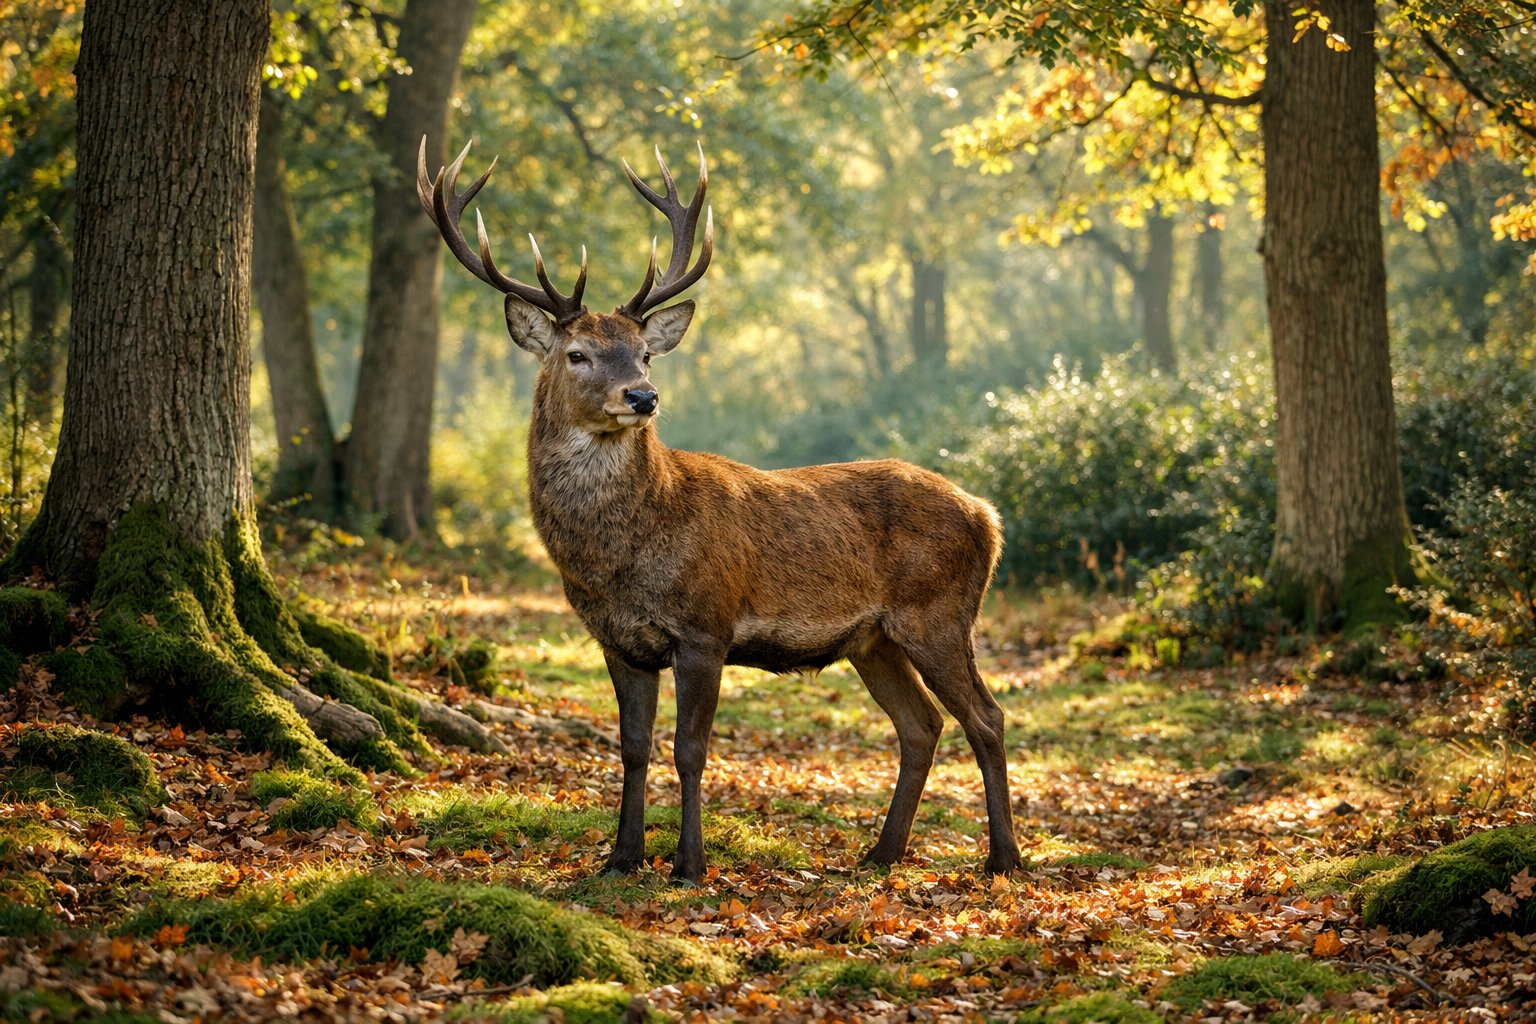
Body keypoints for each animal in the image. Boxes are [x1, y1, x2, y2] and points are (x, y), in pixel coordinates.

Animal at [417, 136, 1022, 883]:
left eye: (645, 353)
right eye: (578, 353)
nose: (642, 396)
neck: (620, 558)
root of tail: (987, 516)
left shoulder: (706, 625)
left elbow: (691, 749)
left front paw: (689, 863)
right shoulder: (619, 642)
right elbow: (633, 748)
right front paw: (621, 857)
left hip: (939, 614)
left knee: (987, 717)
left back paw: (1003, 858)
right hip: (874, 640)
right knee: (921, 725)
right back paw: (881, 853)